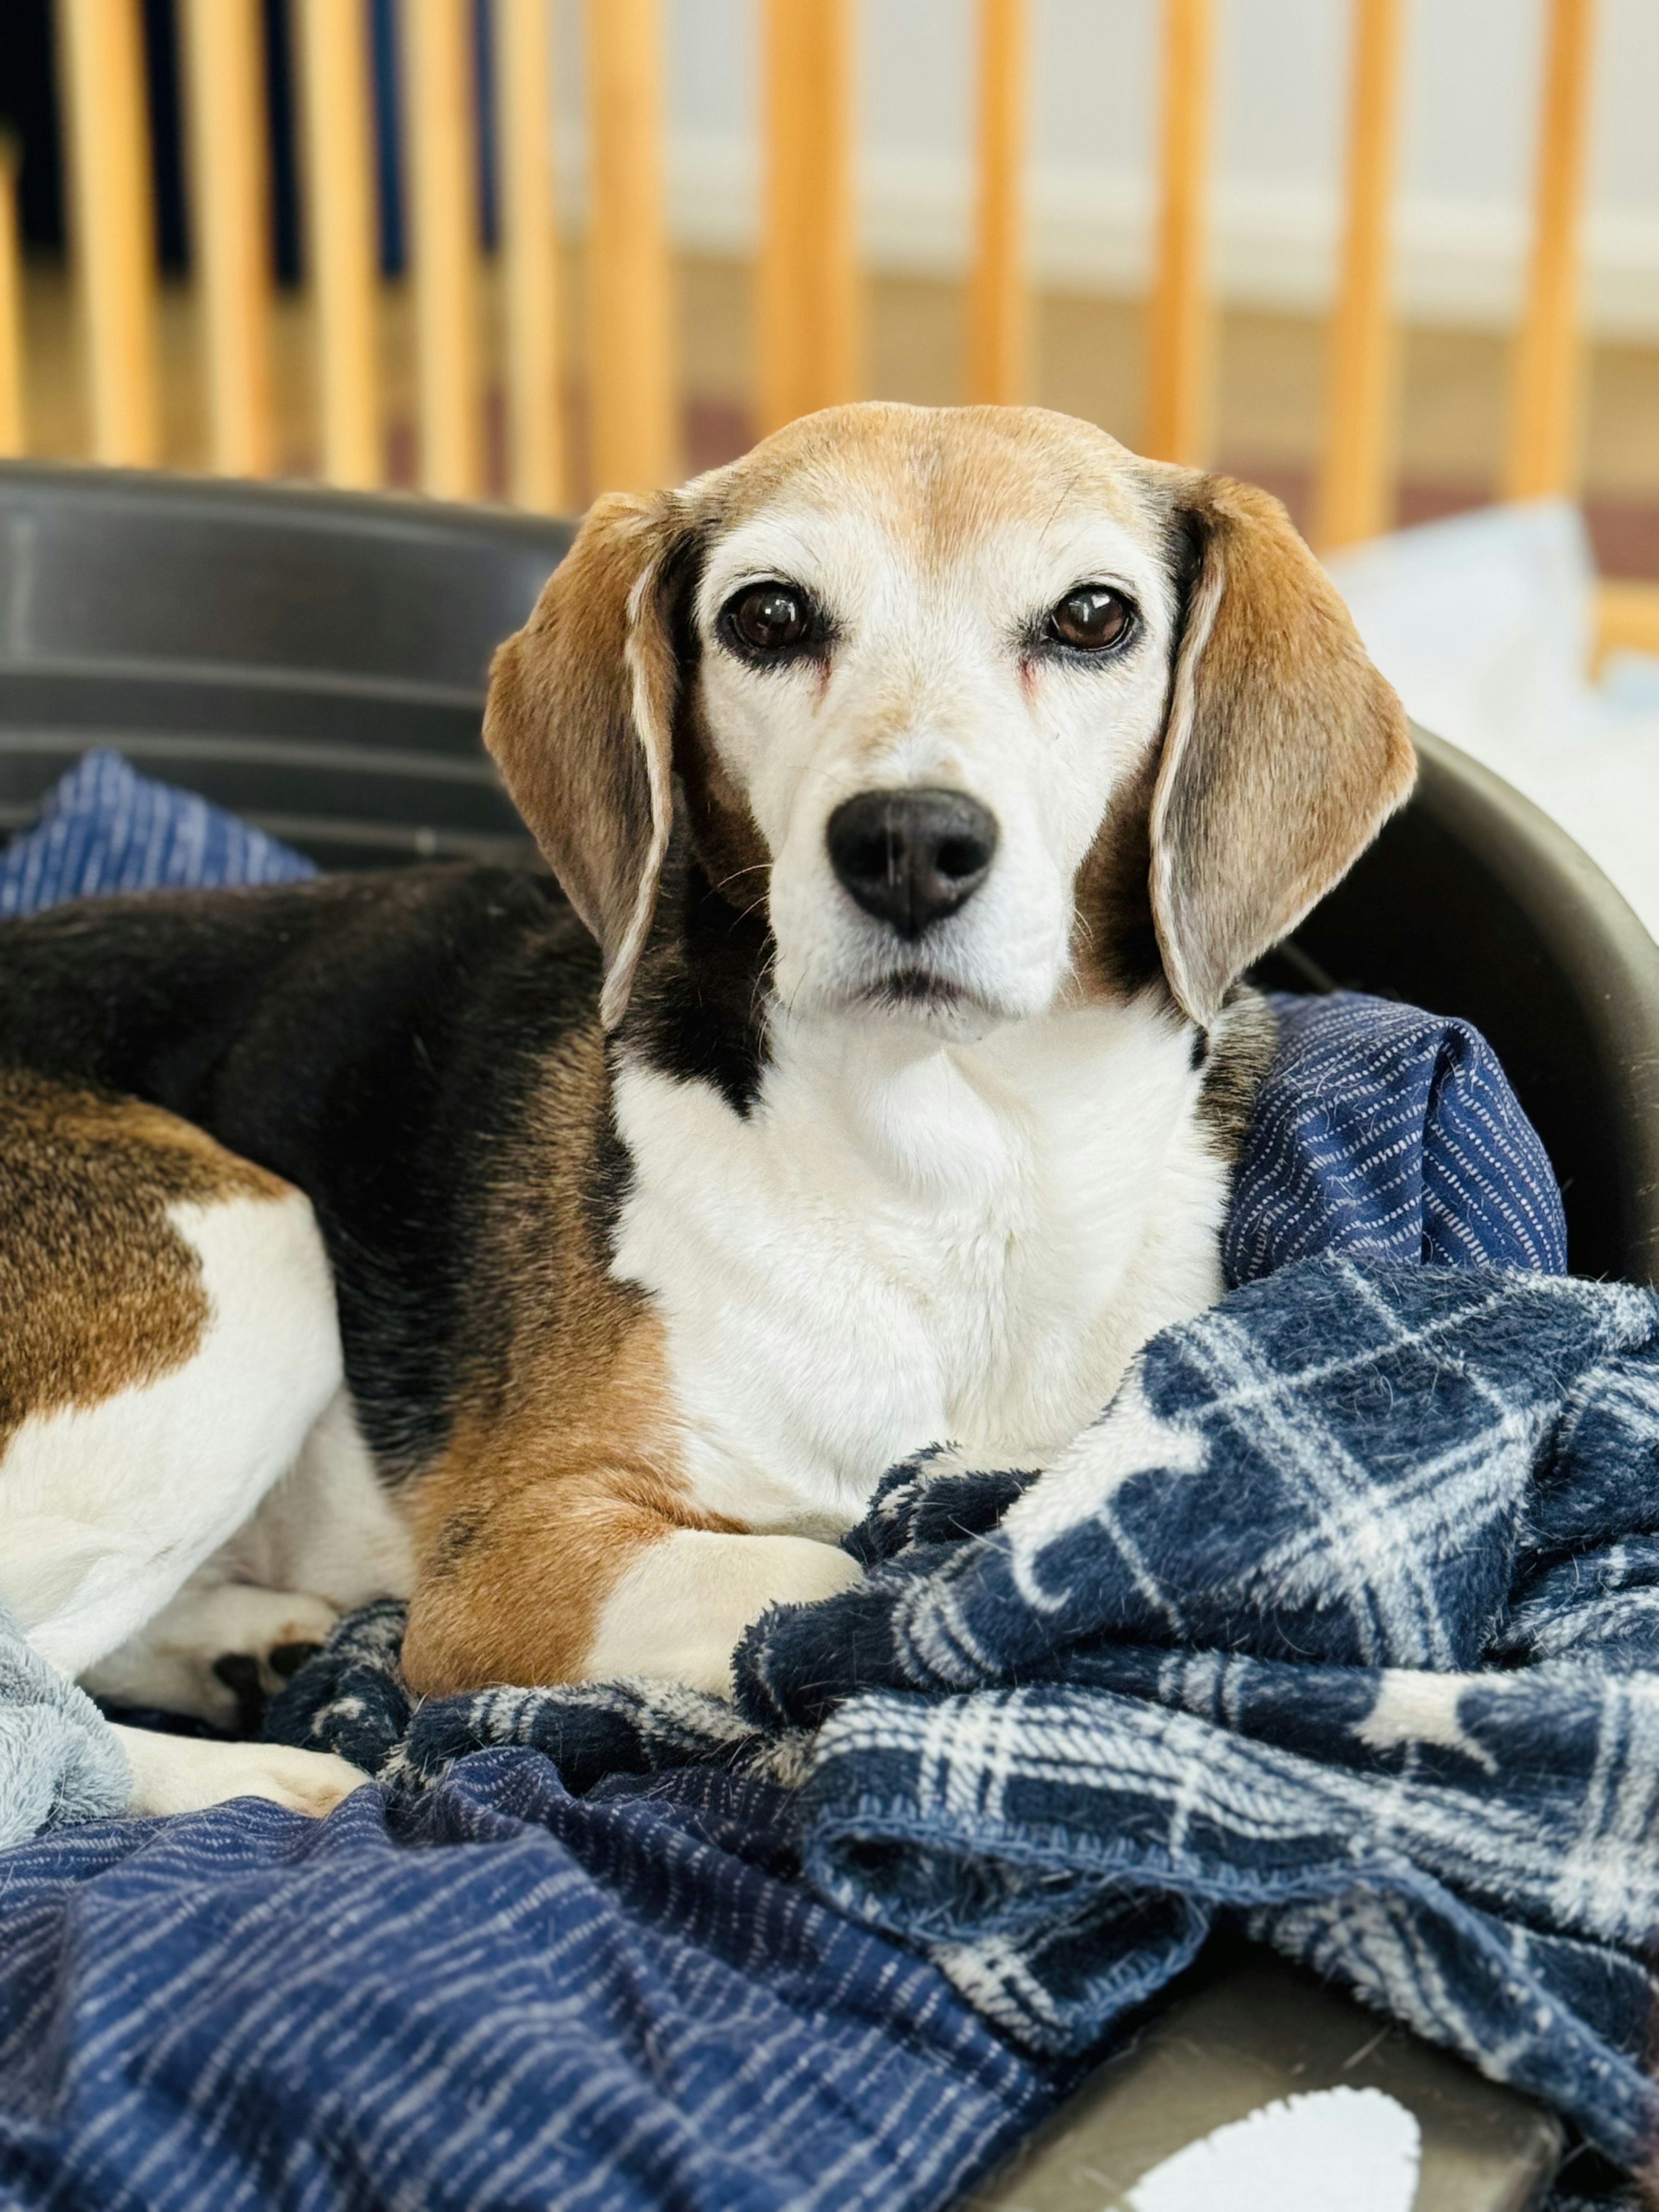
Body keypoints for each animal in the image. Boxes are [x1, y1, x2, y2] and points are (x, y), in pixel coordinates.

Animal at [0, 411, 1415, 1814]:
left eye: (1090, 616)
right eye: (769, 614)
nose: (907, 841)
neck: (954, 1165)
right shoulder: (513, 1560)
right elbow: (841, 1578)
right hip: (252, 1260)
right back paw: (264, 1770)